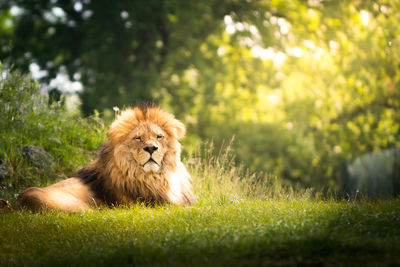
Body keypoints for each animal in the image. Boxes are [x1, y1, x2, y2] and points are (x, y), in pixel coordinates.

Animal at [2, 107, 195, 214]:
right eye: (138, 138)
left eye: (159, 137)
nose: (151, 148)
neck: (156, 176)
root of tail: (18, 203)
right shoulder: (154, 205)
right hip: (84, 209)